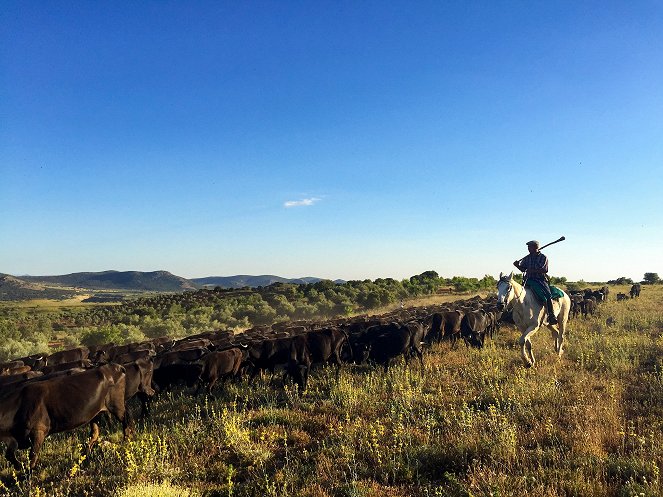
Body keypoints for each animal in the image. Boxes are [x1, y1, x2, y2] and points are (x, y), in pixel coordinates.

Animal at [0, 362, 128, 466]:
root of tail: (116, 366)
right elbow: (9, 455)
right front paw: (18, 467)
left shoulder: (38, 431)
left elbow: (32, 457)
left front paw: (26, 477)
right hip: (96, 413)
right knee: (94, 434)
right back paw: (84, 456)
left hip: (116, 405)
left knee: (126, 420)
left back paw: (127, 441)